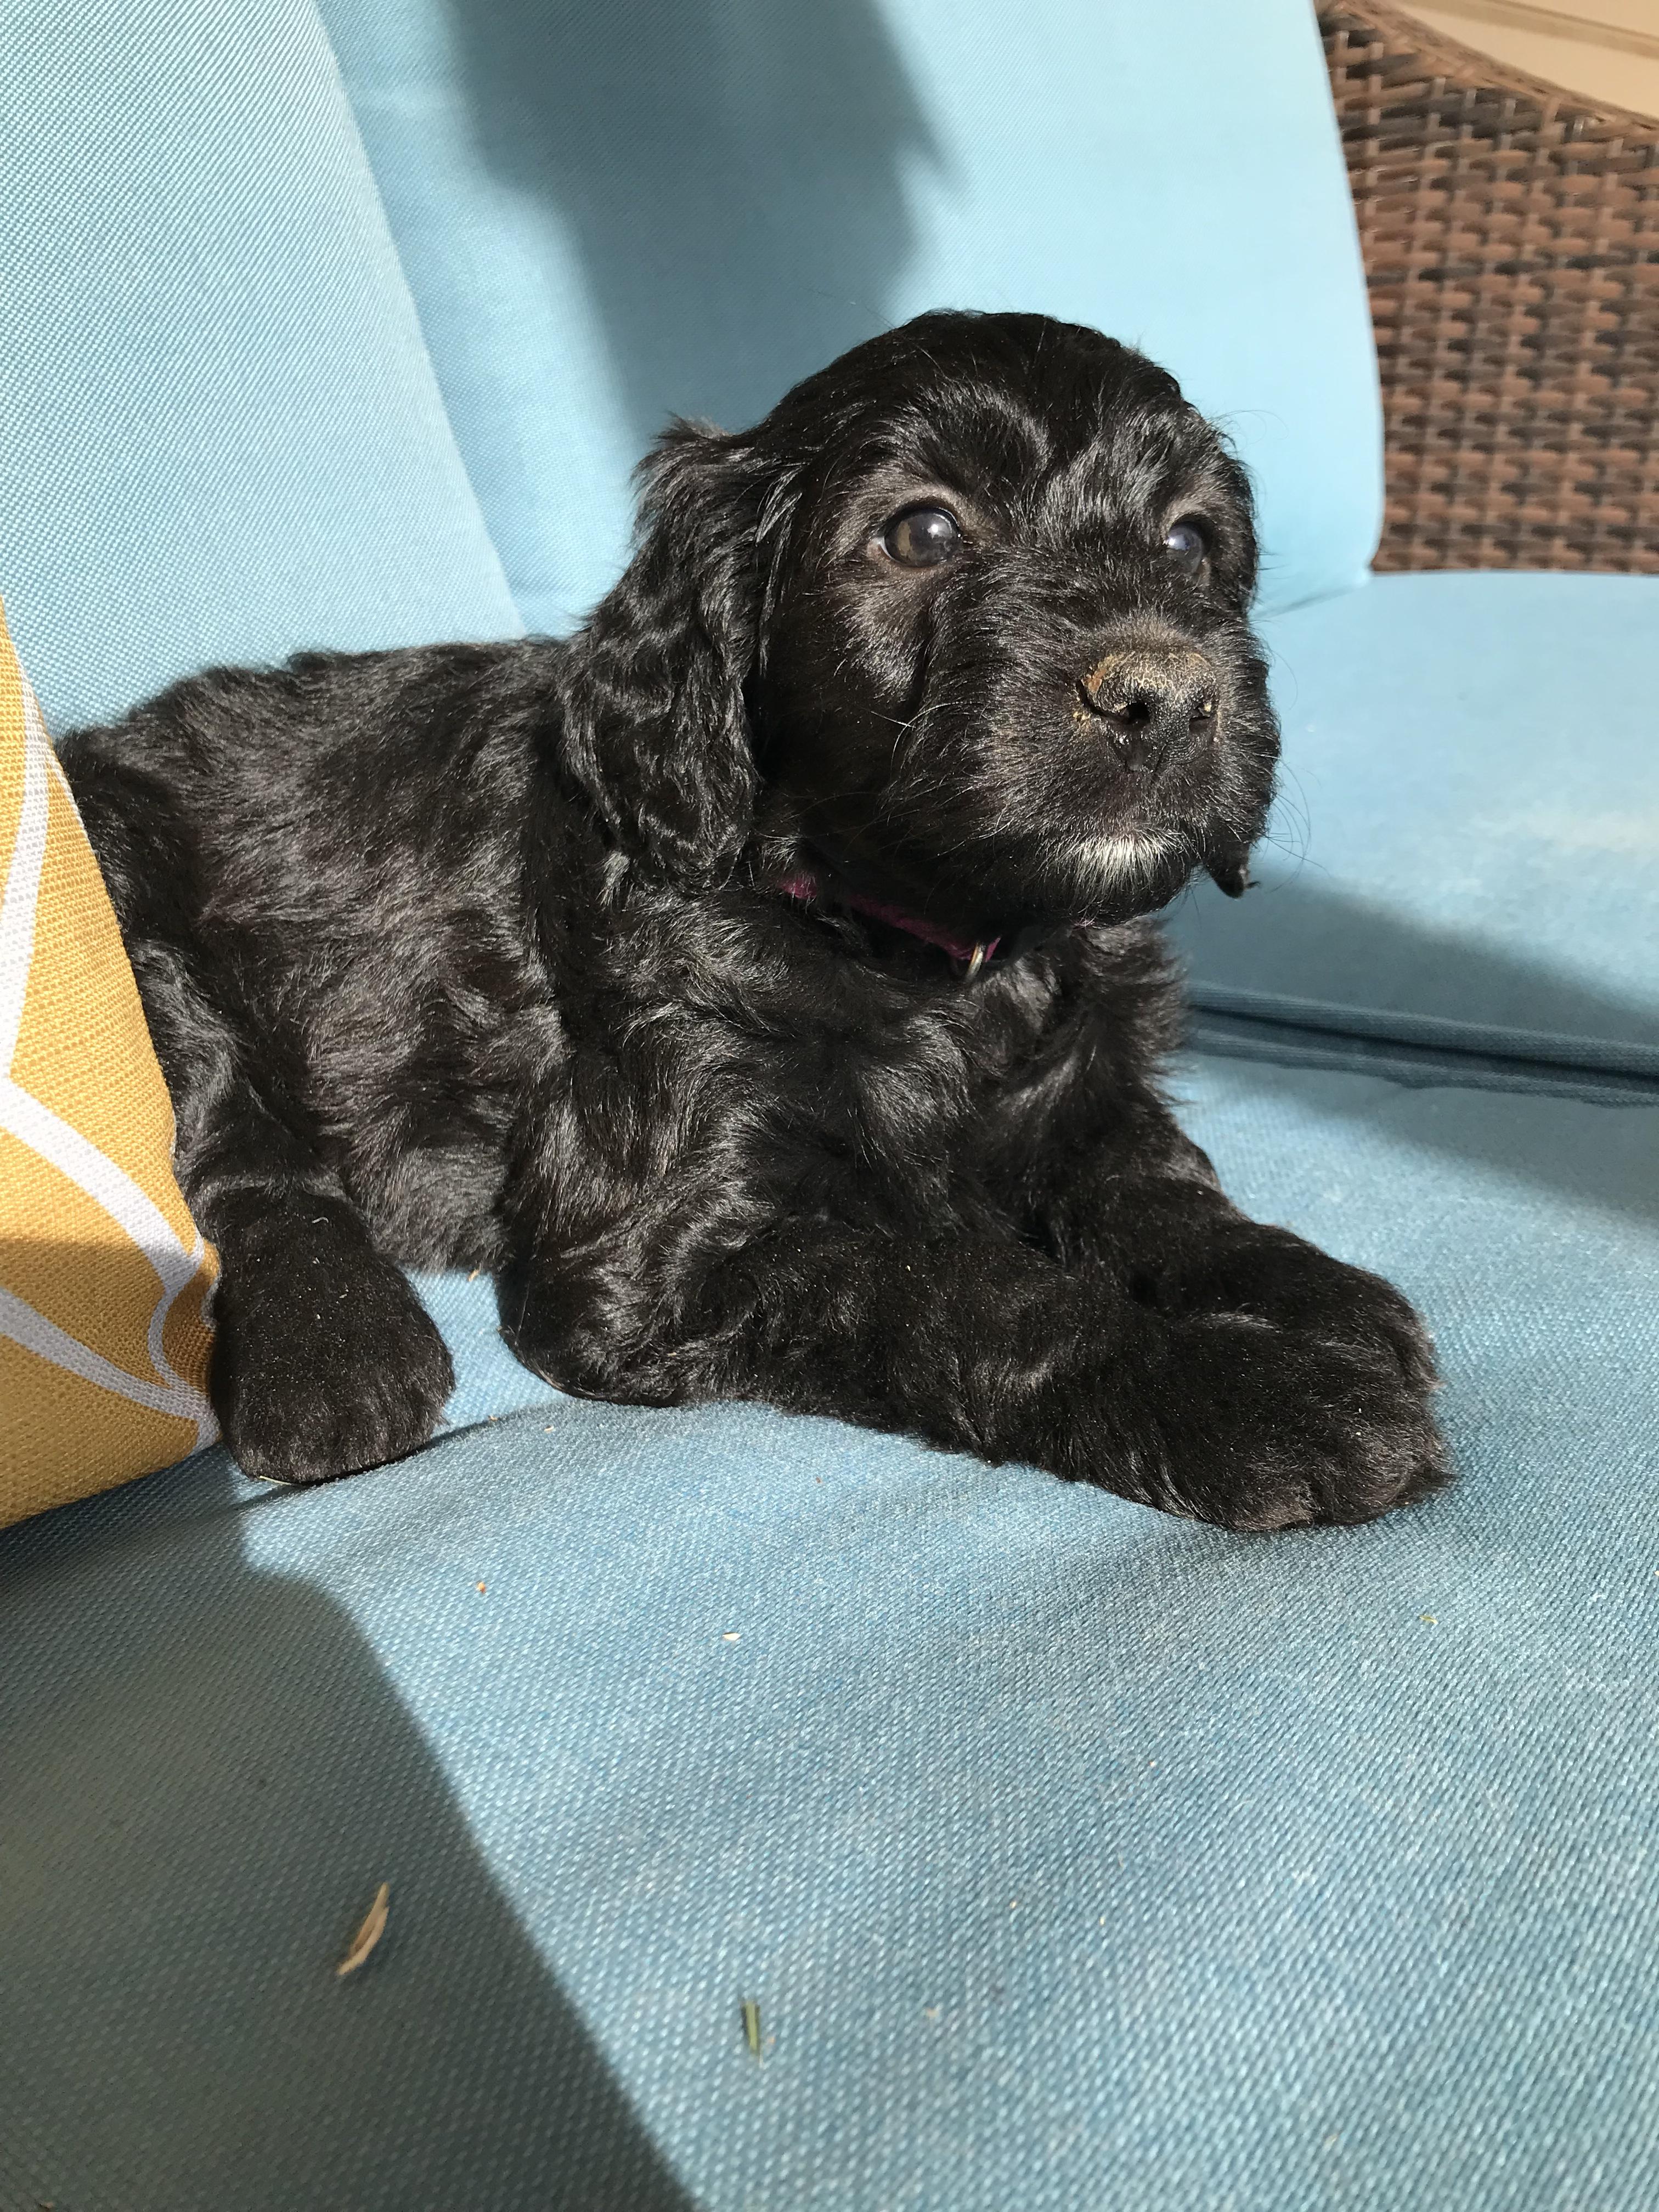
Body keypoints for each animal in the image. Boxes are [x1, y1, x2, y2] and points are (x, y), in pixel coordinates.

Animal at [60, 310, 1447, 1529]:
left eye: (1190, 543)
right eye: (924, 531)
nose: (1164, 697)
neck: (913, 943)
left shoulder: (1081, 1077)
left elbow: (1157, 1181)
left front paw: (1305, 1292)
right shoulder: (661, 1241)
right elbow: (971, 1293)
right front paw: (1260, 1395)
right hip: (139, 918)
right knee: (239, 1156)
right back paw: (344, 1359)